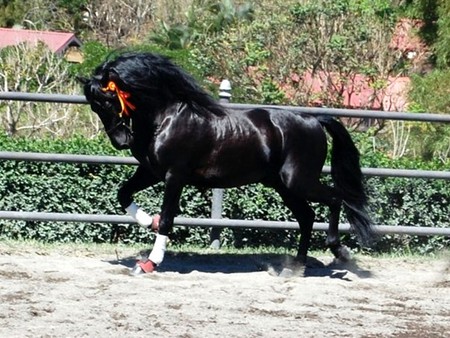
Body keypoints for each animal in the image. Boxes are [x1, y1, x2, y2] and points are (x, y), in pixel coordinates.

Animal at [80, 52, 372, 274]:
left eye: (110, 99)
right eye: (94, 105)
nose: (121, 140)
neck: (166, 118)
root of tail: (314, 120)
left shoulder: (175, 176)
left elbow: (167, 219)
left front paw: (149, 263)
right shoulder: (151, 171)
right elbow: (123, 193)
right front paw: (148, 221)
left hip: (299, 180)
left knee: (334, 200)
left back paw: (339, 251)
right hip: (283, 186)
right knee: (307, 217)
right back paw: (294, 267)